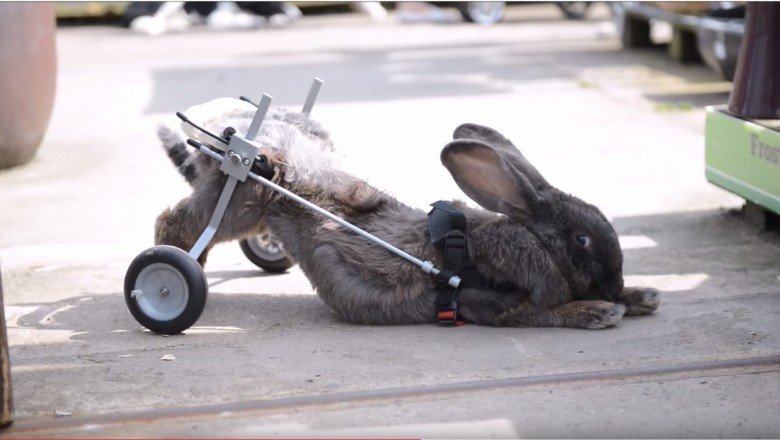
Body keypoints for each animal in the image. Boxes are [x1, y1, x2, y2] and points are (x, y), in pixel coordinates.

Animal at [155, 105, 660, 328]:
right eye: (581, 241)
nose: (614, 286)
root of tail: (232, 144)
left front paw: (643, 296)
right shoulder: (499, 303)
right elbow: (540, 312)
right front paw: (601, 311)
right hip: (241, 202)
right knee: (176, 222)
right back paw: (172, 269)